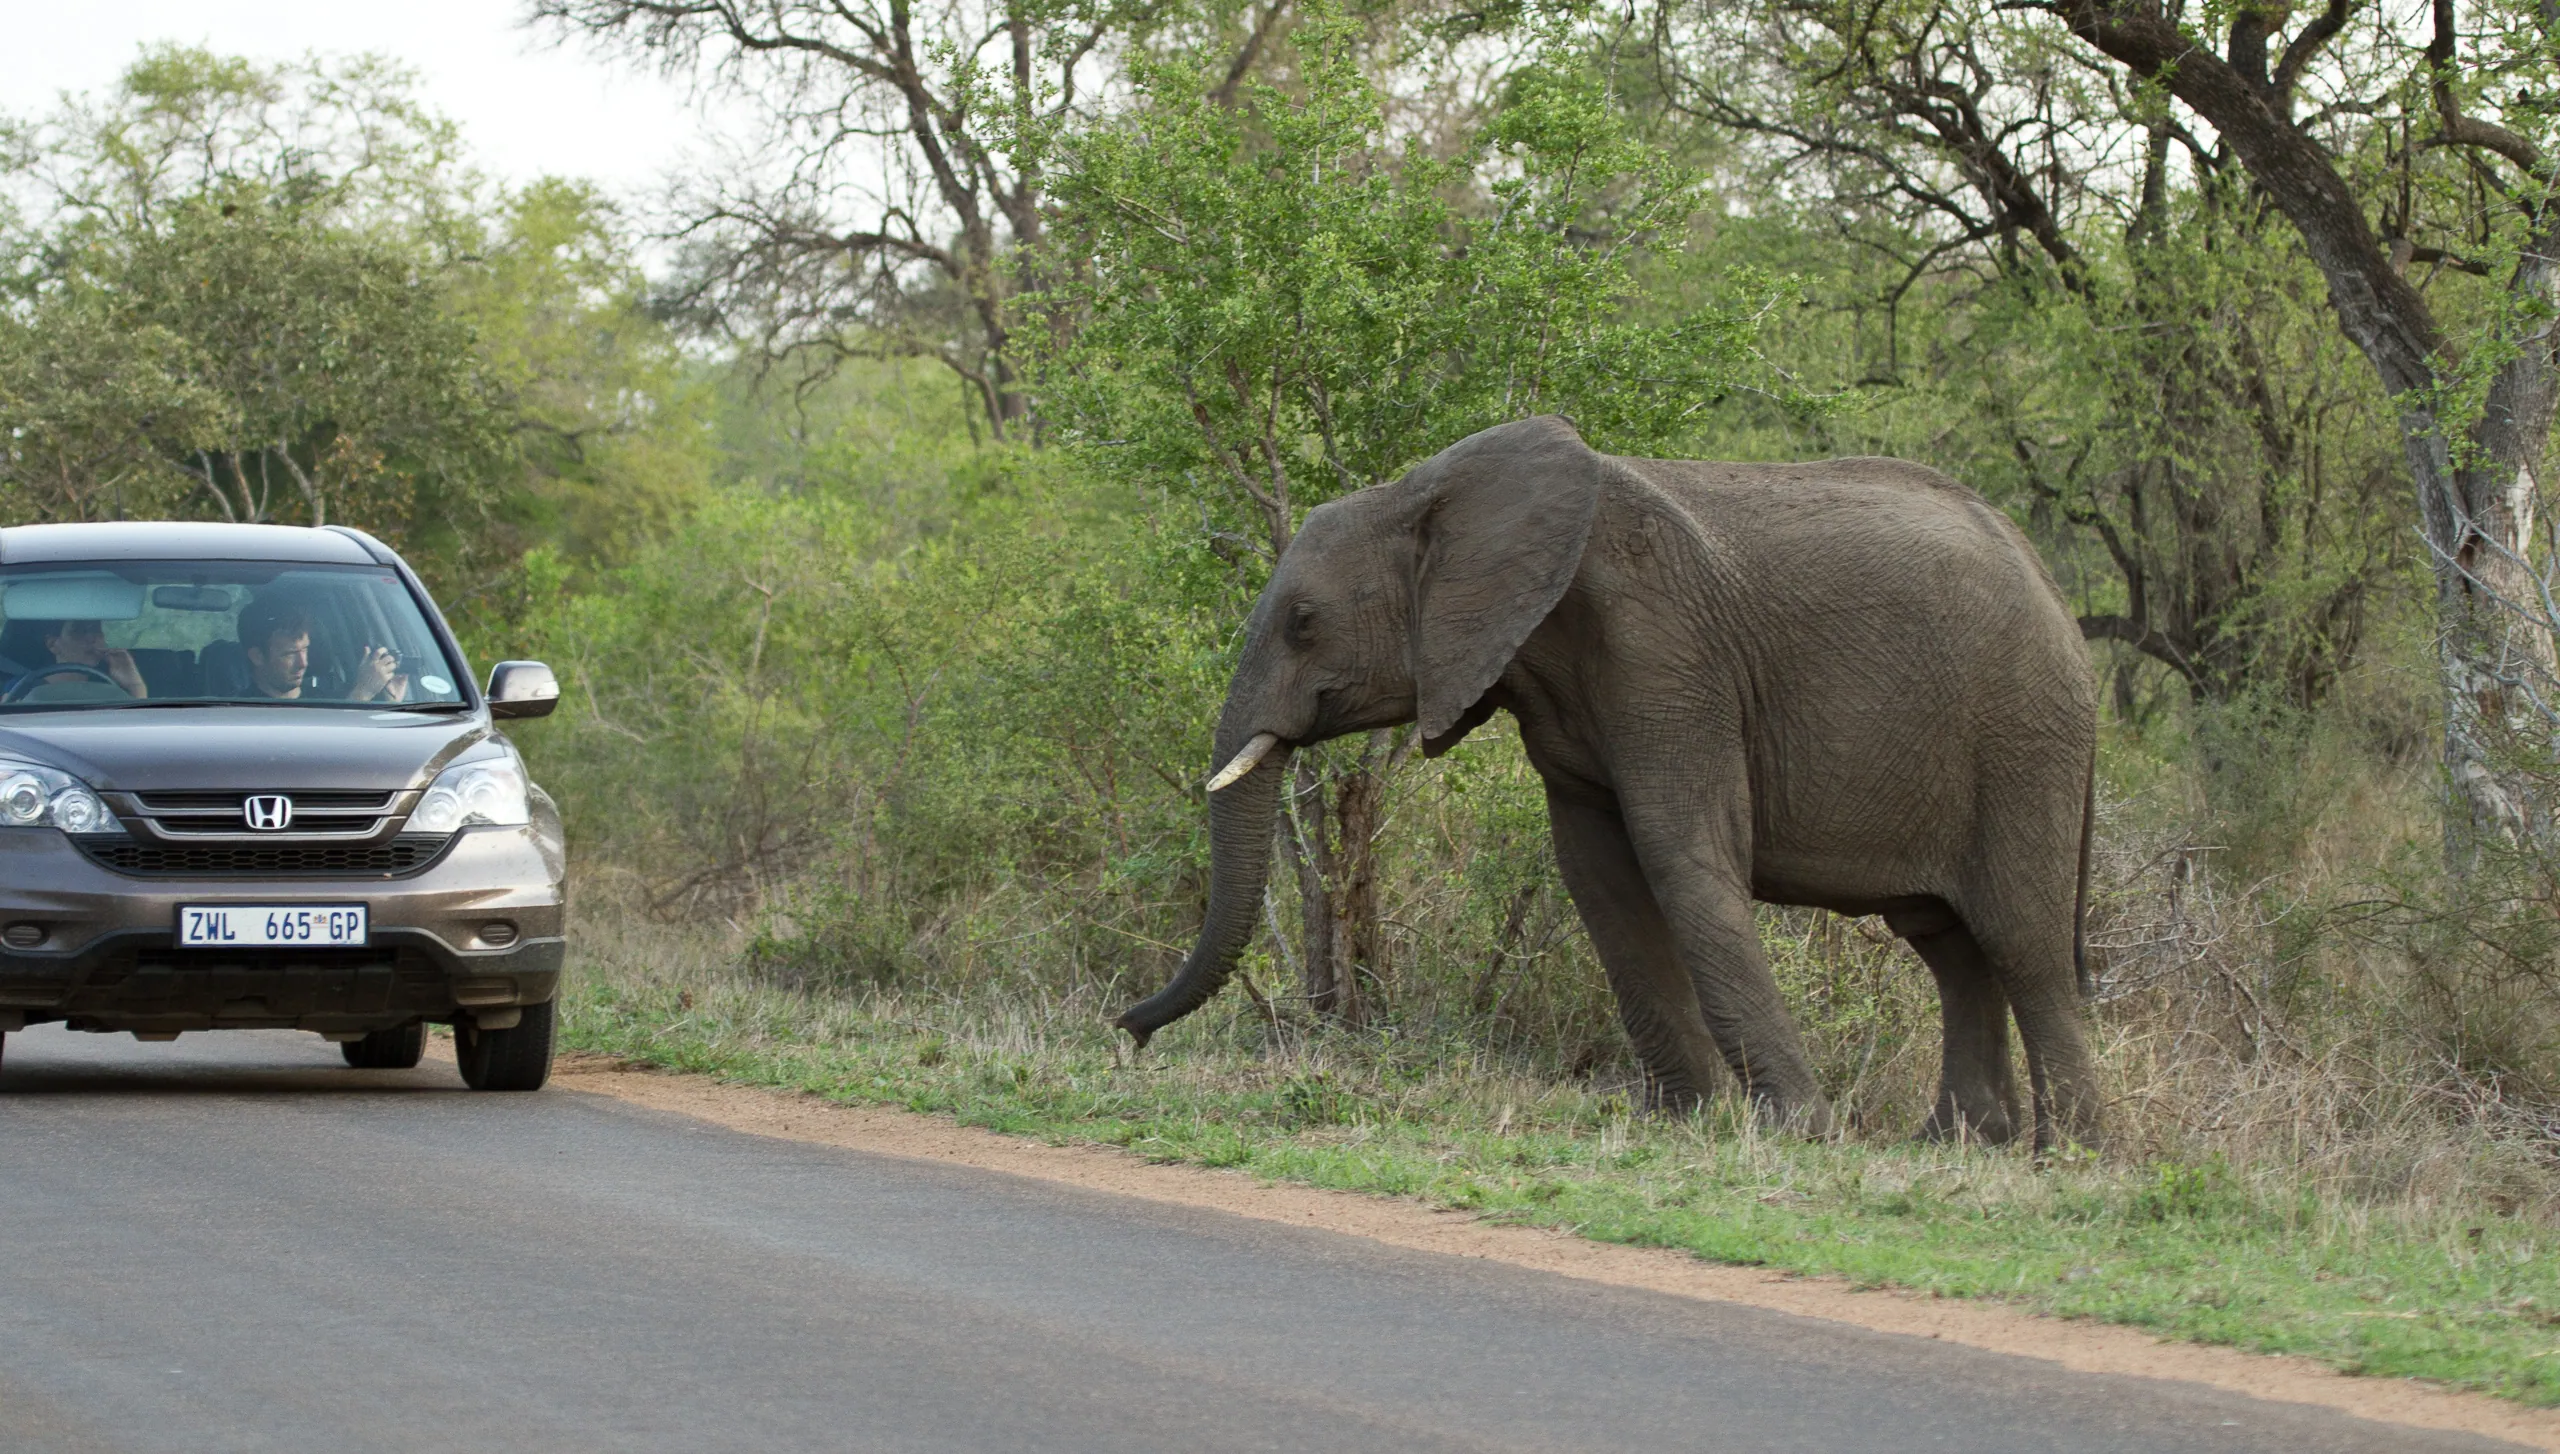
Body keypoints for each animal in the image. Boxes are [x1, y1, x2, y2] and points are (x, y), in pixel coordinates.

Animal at [1115, 415, 2103, 1150]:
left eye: (1304, 622)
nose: (1128, 1031)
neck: (1432, 492)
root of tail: (2053, 587)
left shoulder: (1667, 657)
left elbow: (1681, 856)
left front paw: (1798, 1134)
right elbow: (1598, 876)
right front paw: (1686, 1119)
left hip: (2024, 737)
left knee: (2022, 940)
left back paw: (2069, 1157)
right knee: (1948, 943)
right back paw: (1966, 1144)